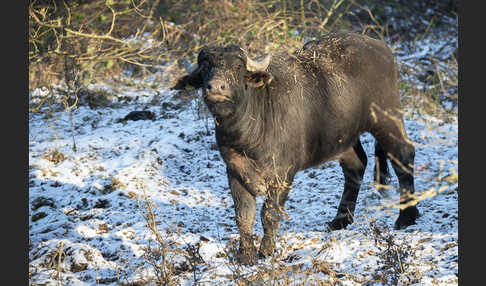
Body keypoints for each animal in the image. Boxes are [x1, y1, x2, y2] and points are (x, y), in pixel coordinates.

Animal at [173, 30, 420, 264]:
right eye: (206, 68)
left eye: (237, 67)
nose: (216, 87)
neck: (246, 135)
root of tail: (380, 47)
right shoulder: (234, 172)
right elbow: (244, 215)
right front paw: (246, 256)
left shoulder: (282, 174)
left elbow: (269, 213)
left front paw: (266, 251)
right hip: (343, 138)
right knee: (356, 166)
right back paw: (340, 220)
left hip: (387, 119)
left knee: (404, 155)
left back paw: (406, 216)